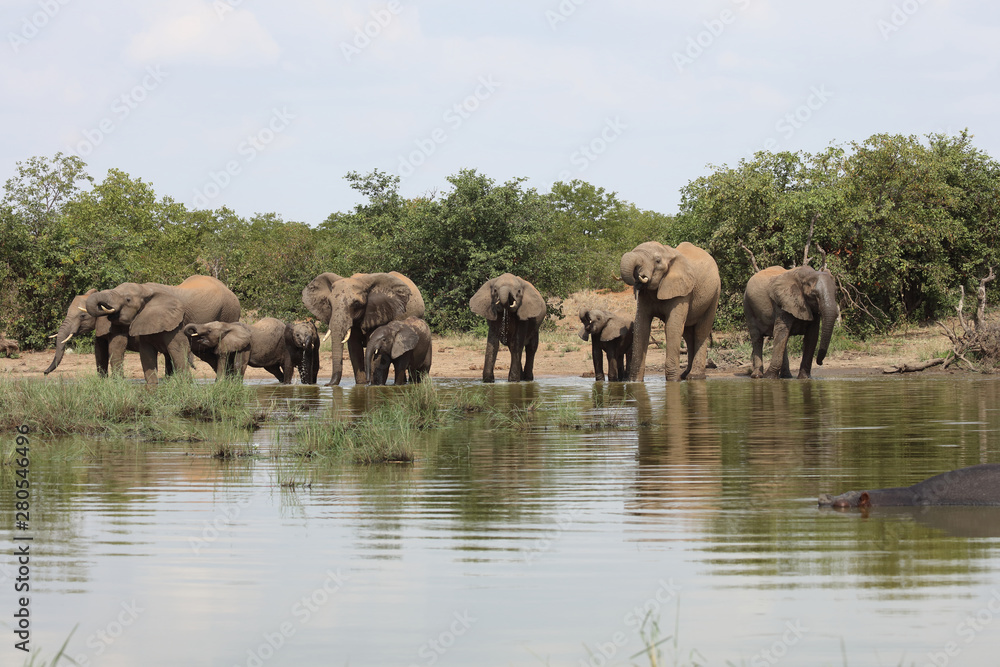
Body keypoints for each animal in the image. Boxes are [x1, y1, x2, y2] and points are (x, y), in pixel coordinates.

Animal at [86, 275, 241, 386]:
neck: (145, 289)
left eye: (128, 299)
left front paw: (185, 385)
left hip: (229, 313)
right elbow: (145, 352)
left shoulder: (176, 321)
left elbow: (177, 349)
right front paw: (153, 386)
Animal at [619, 242, 720, 382]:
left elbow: (672, 327)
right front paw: (635, 382)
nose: (638, 275)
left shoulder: (682, 290)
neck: (667, 252)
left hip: (714, 294)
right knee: (688, 334)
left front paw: (673, 381)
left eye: (657, 261)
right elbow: (642, 327)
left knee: (701, 331)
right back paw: (685, 375)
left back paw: (695, 377)